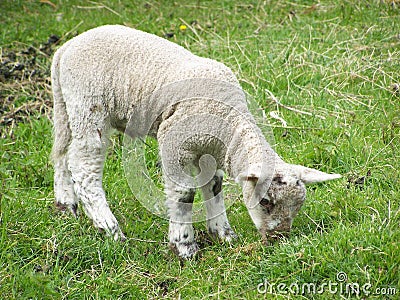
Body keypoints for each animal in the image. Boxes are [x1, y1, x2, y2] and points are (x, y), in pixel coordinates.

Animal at [50, 24, 340, 258]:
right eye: (265, 202)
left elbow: (214, 186)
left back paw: (66, 205)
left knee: (61, 154)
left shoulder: (209, 150)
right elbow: (184, 194)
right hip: (89, 106)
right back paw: (109, 228)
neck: (228, 121)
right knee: (83, 167)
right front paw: (184, 246)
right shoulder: (174, 139)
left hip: (66, 106)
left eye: (298, 206)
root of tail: (65, 49)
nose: (279, 238)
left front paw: (223, 234)